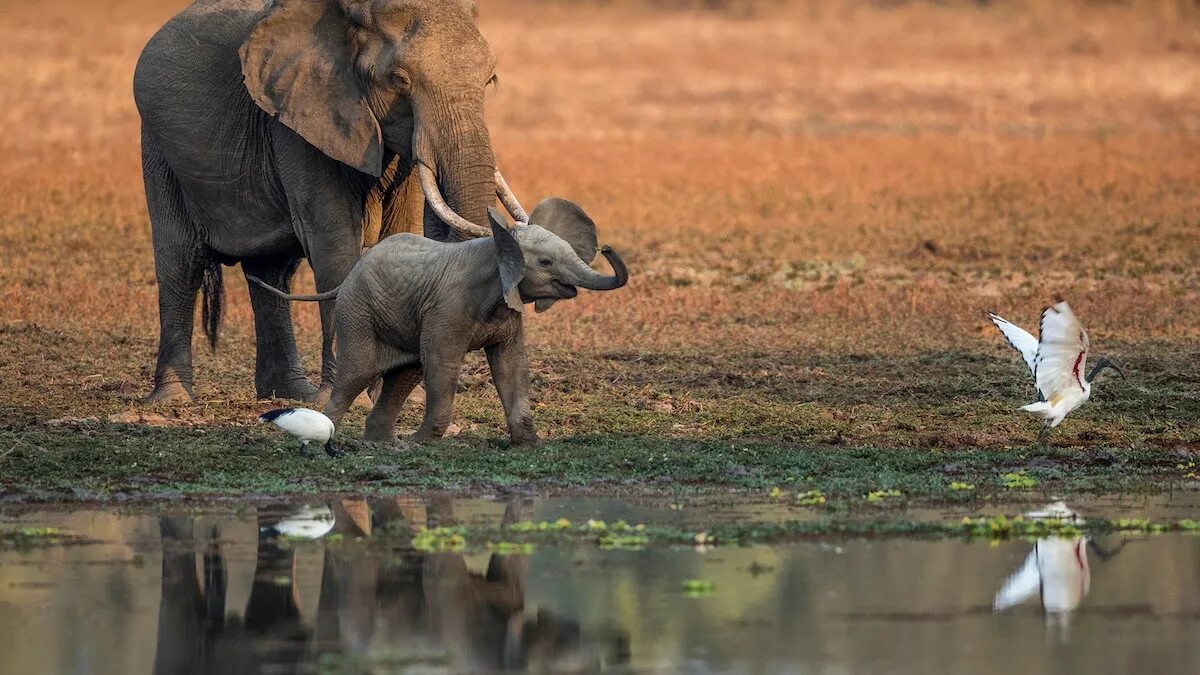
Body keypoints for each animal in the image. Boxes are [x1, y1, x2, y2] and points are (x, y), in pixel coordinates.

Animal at [132, 0, 525, 398]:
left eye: (490, 80)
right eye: (399, 80)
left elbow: (402, 230)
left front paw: (406, 397)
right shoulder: (299, 120)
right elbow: (334, 242)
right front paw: (353, 397)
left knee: (272, 272)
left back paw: (289, 394)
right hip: (159, 149)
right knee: (181, 261)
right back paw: (174, 398)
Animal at [249, 196, 633, 444]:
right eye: (546, 263)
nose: (609, 249)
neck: (496, 246)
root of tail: (347, 278)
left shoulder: (507, 310)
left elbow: (511, 366)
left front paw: (528, 444)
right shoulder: (448, 308)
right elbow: (443, 364)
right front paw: (425, 442)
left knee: (405, 374)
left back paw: (387, 445)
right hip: (357, 312)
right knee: (357, 374)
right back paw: (335, 434)